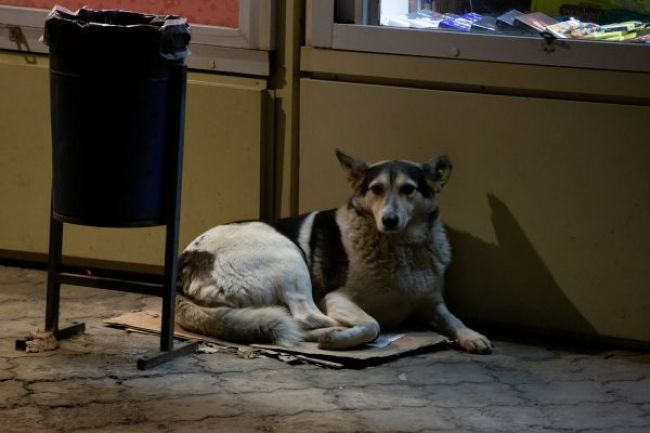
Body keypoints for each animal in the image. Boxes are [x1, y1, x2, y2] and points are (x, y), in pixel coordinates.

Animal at [176, 150, 492, 352]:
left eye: (409, 189)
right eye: (376, 189)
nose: (389, 220)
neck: (398, 248)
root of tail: (184, 267)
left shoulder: (431, 303)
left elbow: (454, 318)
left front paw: (471, 335)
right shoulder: (338, 298)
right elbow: (372, 323)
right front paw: (349, 335)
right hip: (289, 257)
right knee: (303, 317)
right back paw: (331, 332)